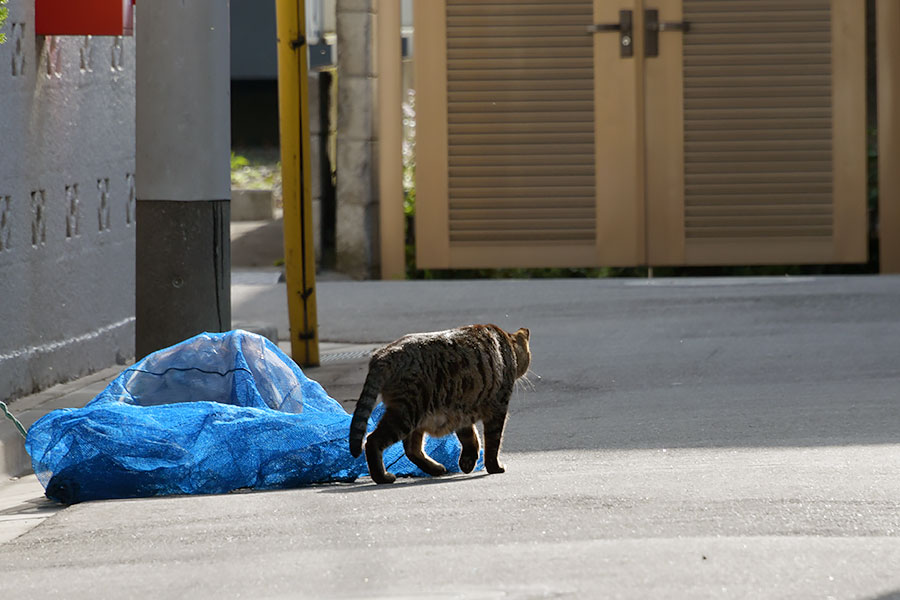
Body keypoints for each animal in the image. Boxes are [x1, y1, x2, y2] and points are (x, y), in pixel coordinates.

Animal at [348, 324, 532, 482]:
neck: (506, 344)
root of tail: (382, 355)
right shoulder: (498, 408)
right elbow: (493, 443)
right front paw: (494, 467)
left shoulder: (461, 411)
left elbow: (470, 437)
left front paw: (467, 461)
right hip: (407, 413)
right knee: (373, 441)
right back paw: (382, 477)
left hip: (415, 416)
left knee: (411, 449)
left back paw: (435, 468)